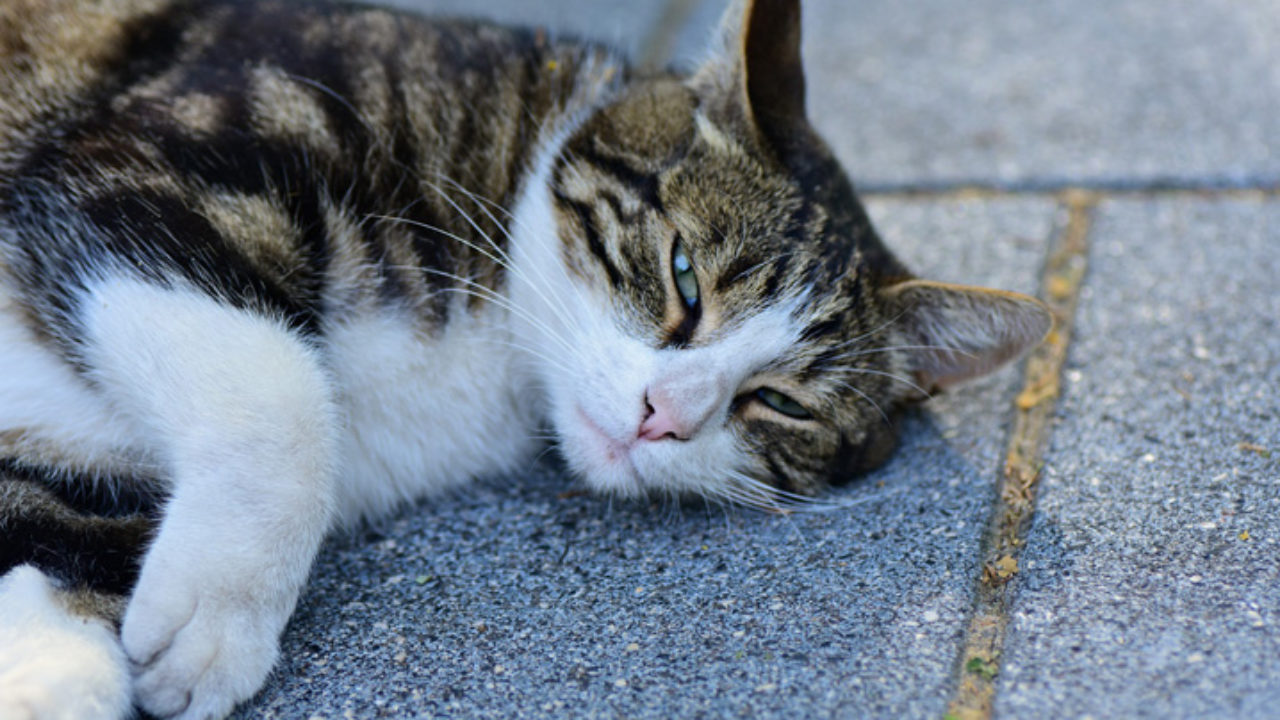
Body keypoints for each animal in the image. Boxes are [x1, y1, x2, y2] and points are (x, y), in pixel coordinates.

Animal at [0, 0, 1049, 712]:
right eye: (683, 275)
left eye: (782, 403)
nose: (663, 416)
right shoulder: (162, 154)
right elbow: (281, 398)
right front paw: (218, 615)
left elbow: (61, 544)